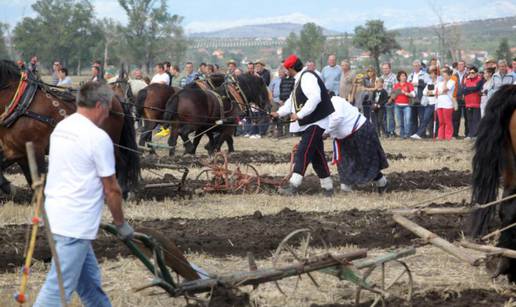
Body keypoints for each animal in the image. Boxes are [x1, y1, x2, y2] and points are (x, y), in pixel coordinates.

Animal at [0, 60, 139, 197]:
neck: (23, 104)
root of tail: (116, 98)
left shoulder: (36, 149)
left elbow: (40, 181)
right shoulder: (15, 150)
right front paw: (10, 188)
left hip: (110, 142)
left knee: (122, 162)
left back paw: (122, 191)